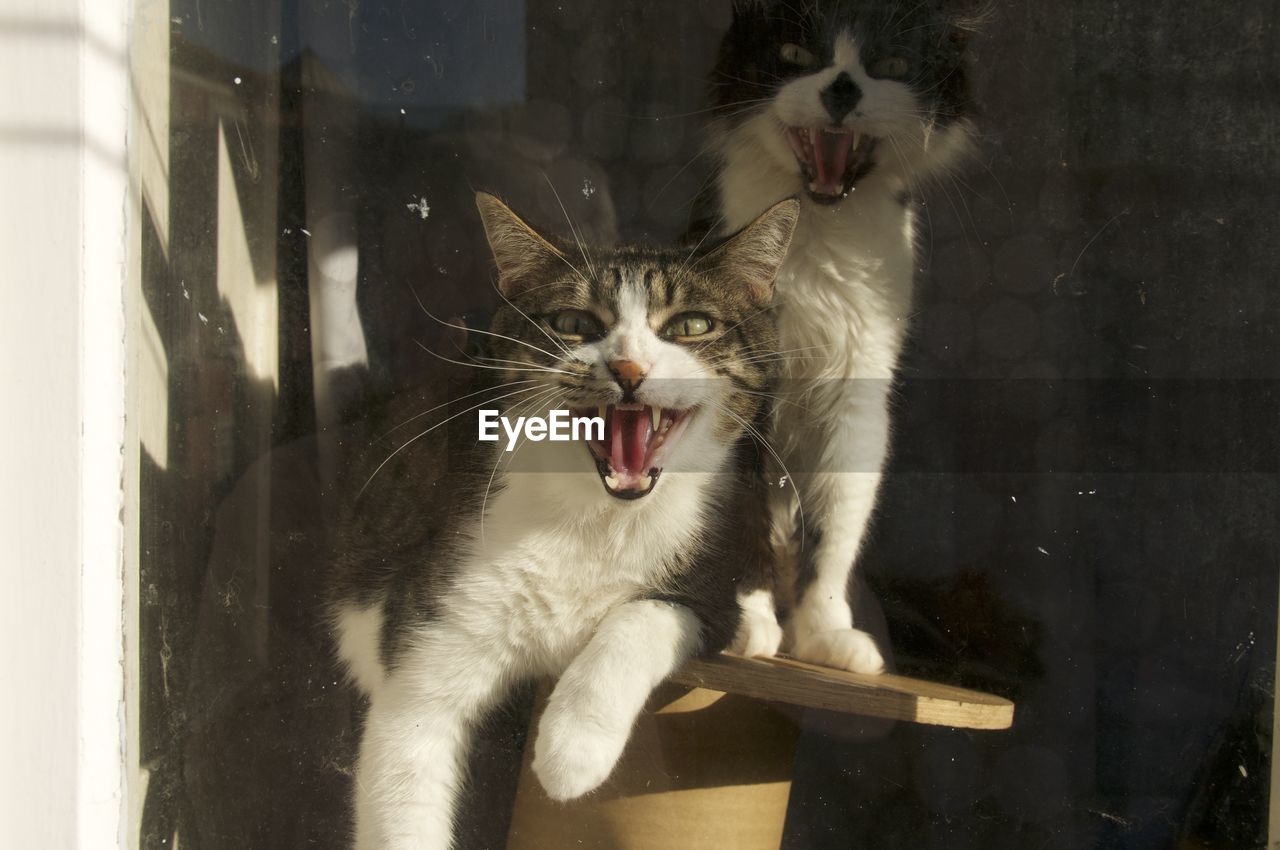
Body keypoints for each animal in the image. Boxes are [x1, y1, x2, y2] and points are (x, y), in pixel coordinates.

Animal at [327, 194, 798, 850]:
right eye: (575, 323)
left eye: (691, 325)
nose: (628, 368)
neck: (597, 519)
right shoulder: (432, 625)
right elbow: (407, 762)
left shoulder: (706, 583)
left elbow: (648, 614)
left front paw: (573, 748)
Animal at [711, 3, 977, 675]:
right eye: (795, 55)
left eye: (891, 64)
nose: (842, 87)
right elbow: (744, 518)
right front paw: (747, 623)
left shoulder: (855, 406)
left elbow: (833, 537)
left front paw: (824, 634)